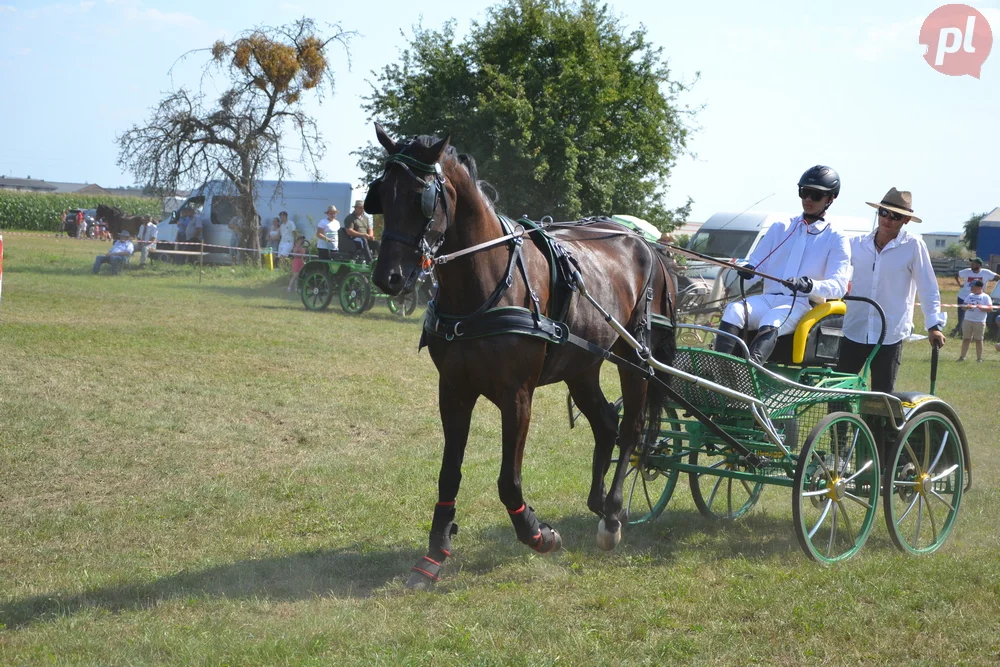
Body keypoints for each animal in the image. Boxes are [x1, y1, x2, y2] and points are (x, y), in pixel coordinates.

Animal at [370, 126, 680, 588]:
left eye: (420, 196)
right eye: (380, 194)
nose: (387, 277)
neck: (486, 283)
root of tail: (645, 244)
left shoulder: (517, 396)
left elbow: (508, 481)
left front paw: (537, 533)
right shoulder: (453, 390)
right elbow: (449, 473)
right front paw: (434, 554)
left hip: (635, 358)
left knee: (631, 430)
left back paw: (612, 515)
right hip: (582, 365)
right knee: (606, 423)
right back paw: (599, 503)